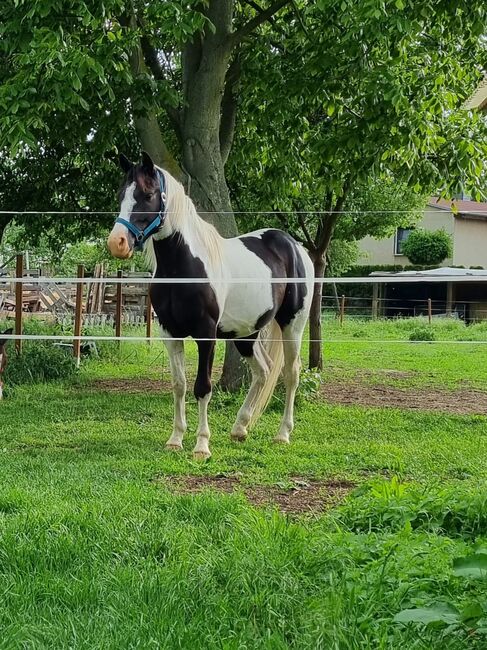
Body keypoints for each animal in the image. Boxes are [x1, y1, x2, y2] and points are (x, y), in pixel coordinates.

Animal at [107, 152, 314, 458]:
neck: (183, 269)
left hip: (292, 326)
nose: (117, 243)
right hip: (246, 334)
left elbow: (202, 387)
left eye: (148, 194)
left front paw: (202, 445)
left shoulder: (206, 335)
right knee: (263, 372)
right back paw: (240, 428)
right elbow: (179, 385)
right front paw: (175, 439)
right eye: (121, 195)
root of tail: (295, 247)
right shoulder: (170, 334)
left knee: (291, 374)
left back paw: (282, 434)